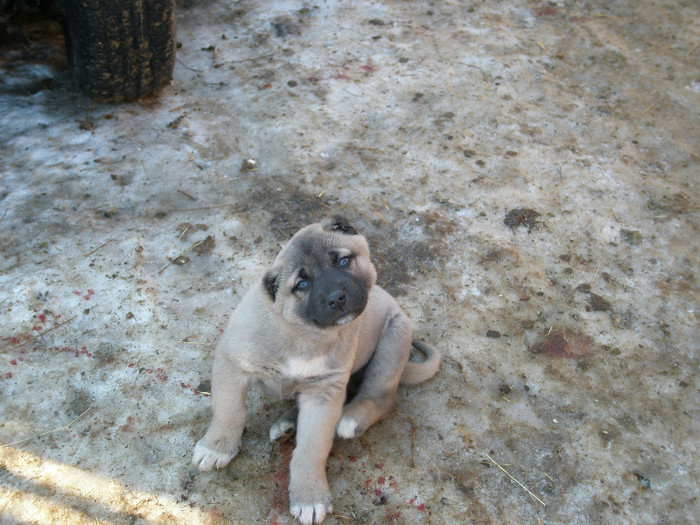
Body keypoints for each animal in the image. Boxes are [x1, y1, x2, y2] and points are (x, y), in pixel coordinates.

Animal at [193, 215, 438, 520]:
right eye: (302, 284)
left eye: (343, 261)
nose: (337, 297)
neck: (303, 334)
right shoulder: (232, 364)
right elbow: (229, 411)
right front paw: (216, 447)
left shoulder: (325, 394)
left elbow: (311, 449)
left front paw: (310, 496)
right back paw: (287, 424)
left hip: (393, 338)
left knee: (381, 396)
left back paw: (351, 418)